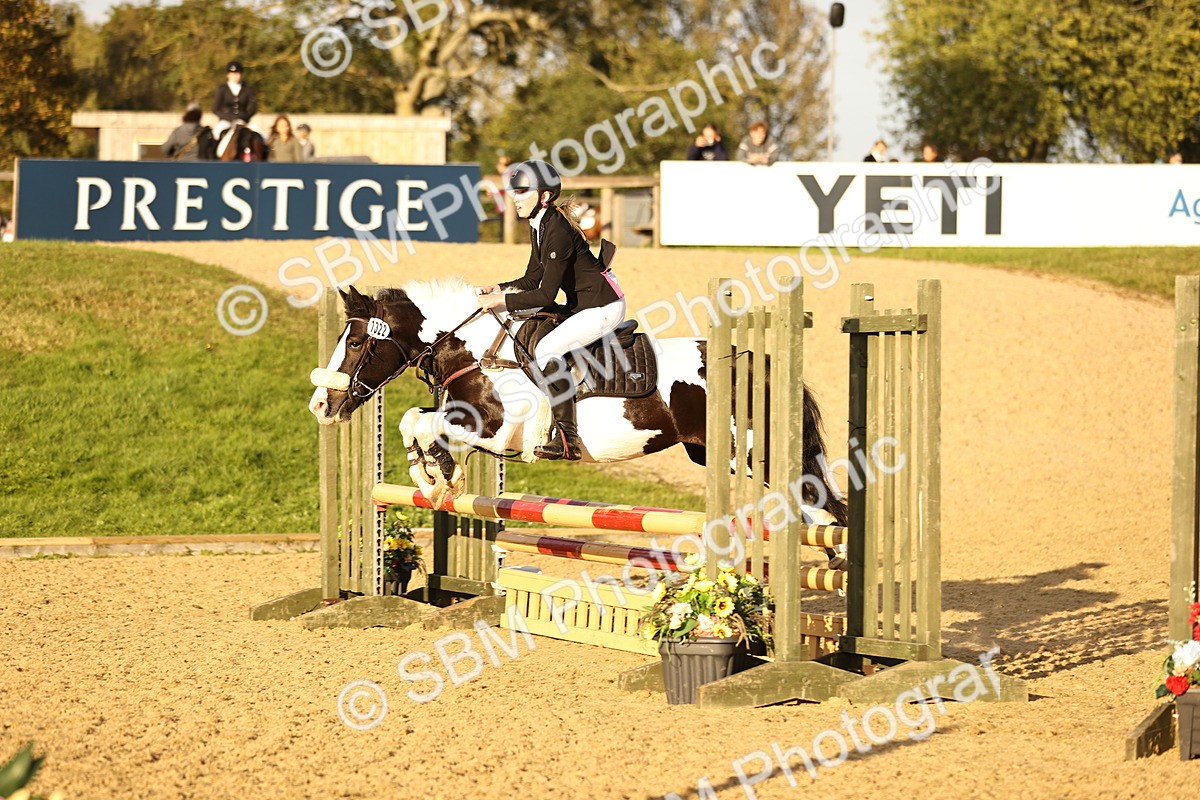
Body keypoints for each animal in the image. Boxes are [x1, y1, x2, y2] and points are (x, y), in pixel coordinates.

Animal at [307, 281, 848, 528]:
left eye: (355, 344)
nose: (320, 405)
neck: (475, 349)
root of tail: (758, 362)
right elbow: (411, 421)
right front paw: (435, 477)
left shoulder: (494, 428)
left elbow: (422, 424)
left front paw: (438, 475)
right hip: (728, 455)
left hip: (757, 451)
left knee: (826, 506)